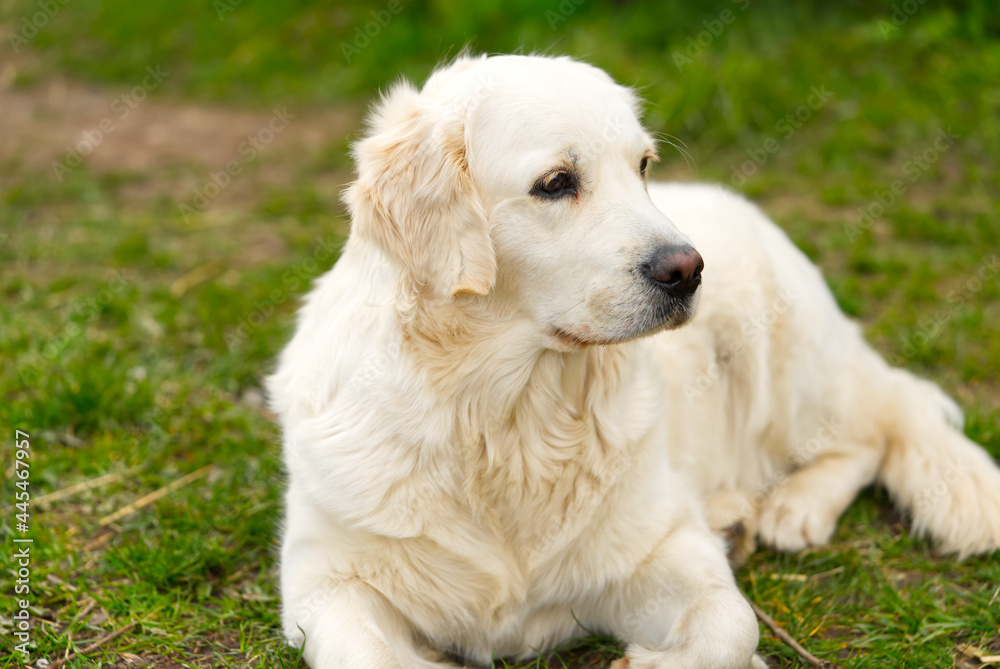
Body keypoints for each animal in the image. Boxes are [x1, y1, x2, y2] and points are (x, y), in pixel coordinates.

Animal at [266, 54, 1000, 664]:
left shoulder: (661, 547)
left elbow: (731, 627)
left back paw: (796, 506)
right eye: (556, 182)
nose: (688, 269)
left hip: (783, 361)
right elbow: (365, 653)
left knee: (878, 422)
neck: (508, 418)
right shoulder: (325, 582)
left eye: (643, 166)